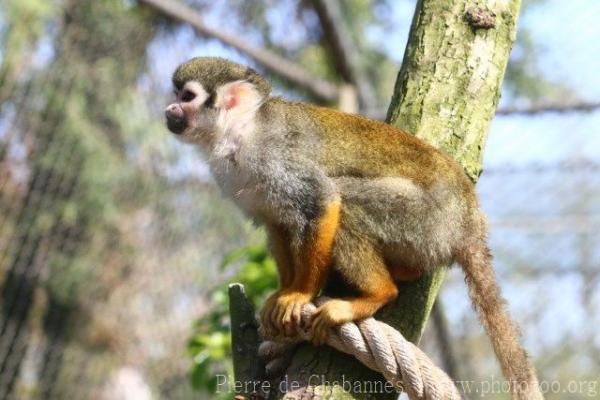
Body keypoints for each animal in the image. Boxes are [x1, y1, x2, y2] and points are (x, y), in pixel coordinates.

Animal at [165, 57, 544, 400]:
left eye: (187, 96)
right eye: (177, 95)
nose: (169, 108)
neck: (240, 133)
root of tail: (469, 219)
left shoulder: (274, 157)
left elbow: (321, 200)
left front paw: (301, 293)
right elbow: (277, 222)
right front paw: (282, 294)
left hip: (426, 218)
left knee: (347, 202)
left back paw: (378, 293)